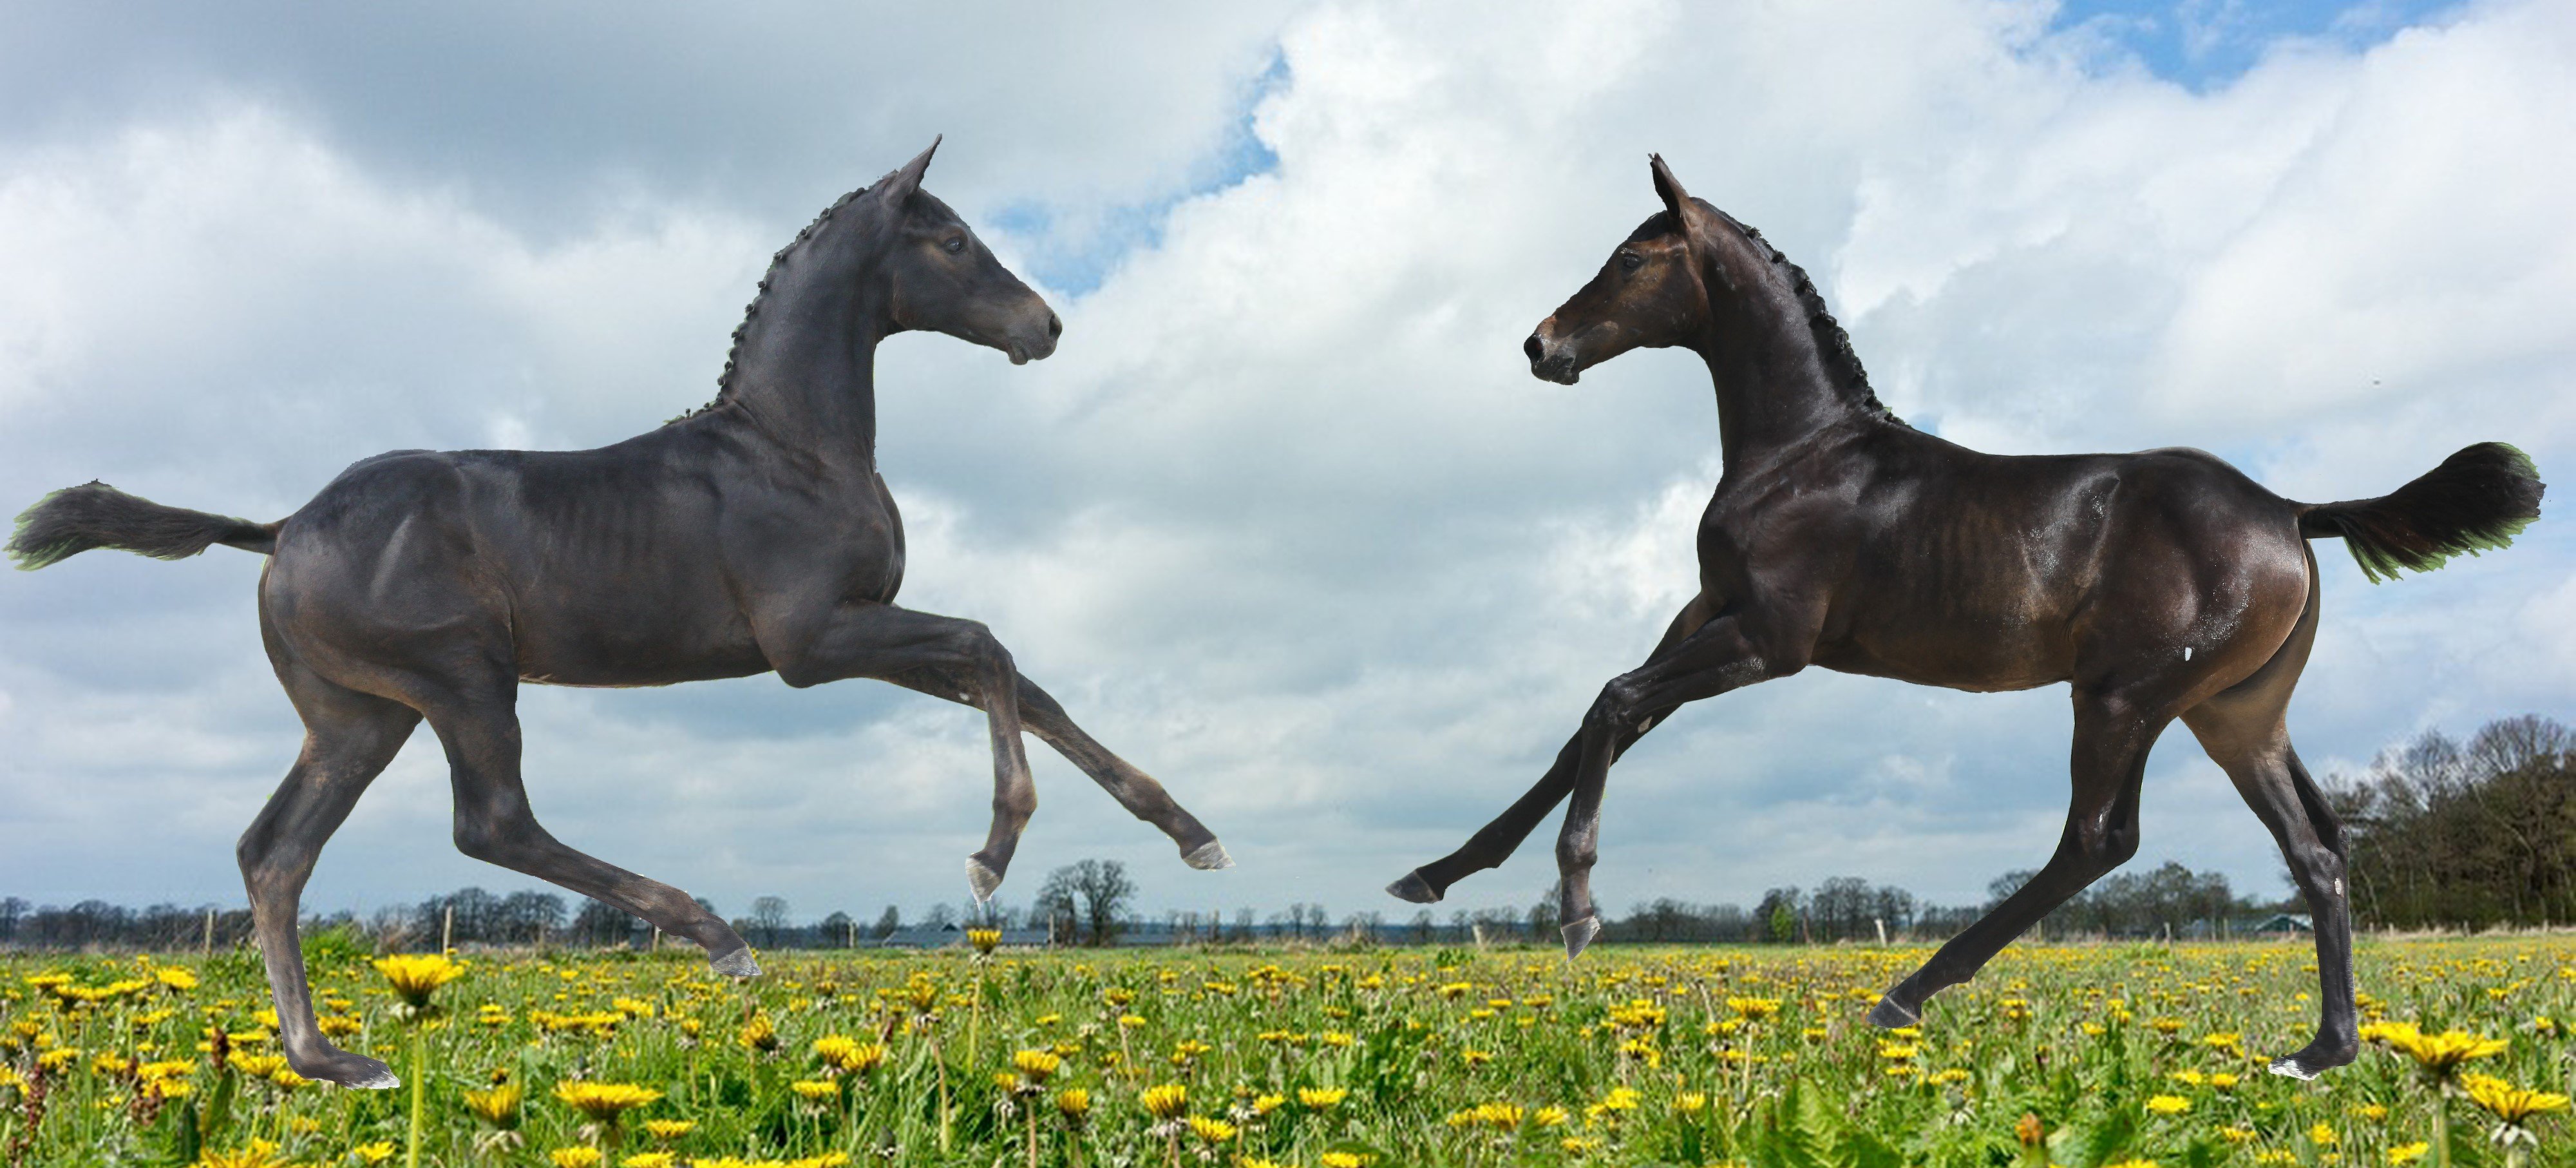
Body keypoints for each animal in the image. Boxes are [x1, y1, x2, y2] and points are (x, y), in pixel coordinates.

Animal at [15, 141, 1231, 1087]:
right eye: (952, 242)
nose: (1047, 324)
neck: (792, 446)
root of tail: (281, 529)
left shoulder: (861, 626)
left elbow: (1024, 680)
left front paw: (1191, 832)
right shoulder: (810, 641)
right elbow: (990, 648)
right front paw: (992, 854)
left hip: (361, 715)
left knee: (275, 854)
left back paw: (328, 1060)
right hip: (464, 680)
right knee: (489, 822)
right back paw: (716, 935)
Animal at [1391, 157, 2535, 1082]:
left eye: (1631, 259)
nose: (1540, 344)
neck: (1803, 455)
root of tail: (2294, 511)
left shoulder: (1769, 643)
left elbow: (1614, 701)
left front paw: (1578, 908)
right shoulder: (1706, 615)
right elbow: (1592, 725)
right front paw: (1436, 875)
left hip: (2124, 696)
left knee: (2100, 840)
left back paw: (1903, 994)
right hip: (2236, 716)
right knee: (2318, 850)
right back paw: (2322, 1051)